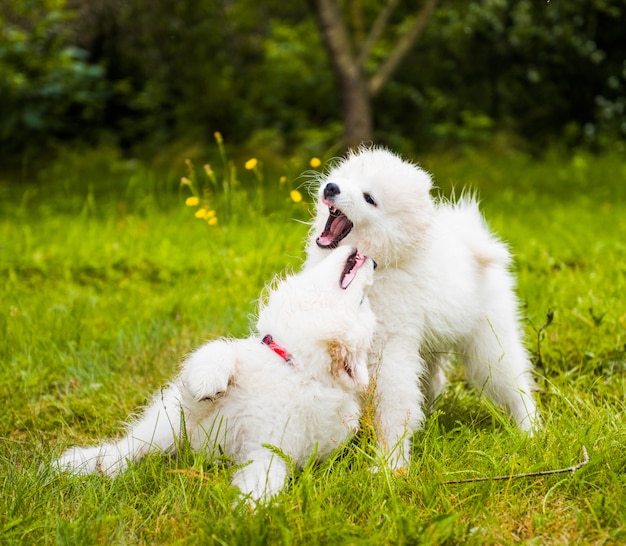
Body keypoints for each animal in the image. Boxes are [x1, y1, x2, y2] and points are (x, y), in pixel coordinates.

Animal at [54, 246, 376, 502]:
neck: (291, 364)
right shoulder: (195, 412)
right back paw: (83, 463)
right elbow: (218, 352)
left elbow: (264, 479)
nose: (373, 261)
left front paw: (249, 511)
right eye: (363, 301)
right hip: (168, 421)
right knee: (132, 446)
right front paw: (208, 380)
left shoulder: (271, 448)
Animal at [304, 146, 540, 468]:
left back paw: (531, 429)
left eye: (369, 198)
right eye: (345, 177)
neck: (379, 267)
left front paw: (390, 465)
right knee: (433, 382)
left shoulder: (389, 349)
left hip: (490, 344)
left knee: (516, 384)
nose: (331, 187)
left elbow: (393, 409)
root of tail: (470, 241)